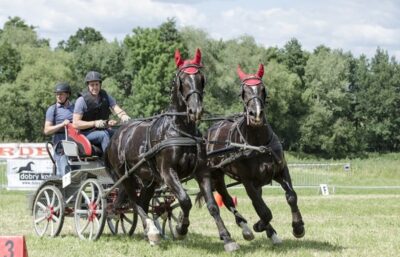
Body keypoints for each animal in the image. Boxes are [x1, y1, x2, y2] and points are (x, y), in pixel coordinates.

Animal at [104, 48, 239, 250]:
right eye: (182, 79)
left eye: (201, 78)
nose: (195, 110)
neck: (179, 129)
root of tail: (116, 136)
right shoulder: (168, 172)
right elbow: (185, 200)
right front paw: (181, 229)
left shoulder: (202, 171)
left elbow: (212, 205)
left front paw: (227, 238)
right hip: (126, 176)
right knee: (135, 203)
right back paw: (152, 231)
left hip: (149, 179)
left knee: (143, 202)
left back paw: (149, 233)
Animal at [206, 63, 306, 243]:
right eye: (243, 91)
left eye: (262, 89)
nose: (256, 114)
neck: (258, 145)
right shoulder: (248, 181)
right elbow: (264, 211)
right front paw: (259, 225)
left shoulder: (280, 170)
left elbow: (291, 196)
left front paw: (298, 227)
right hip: (216, 174)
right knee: (227, 199)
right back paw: (246, 228)